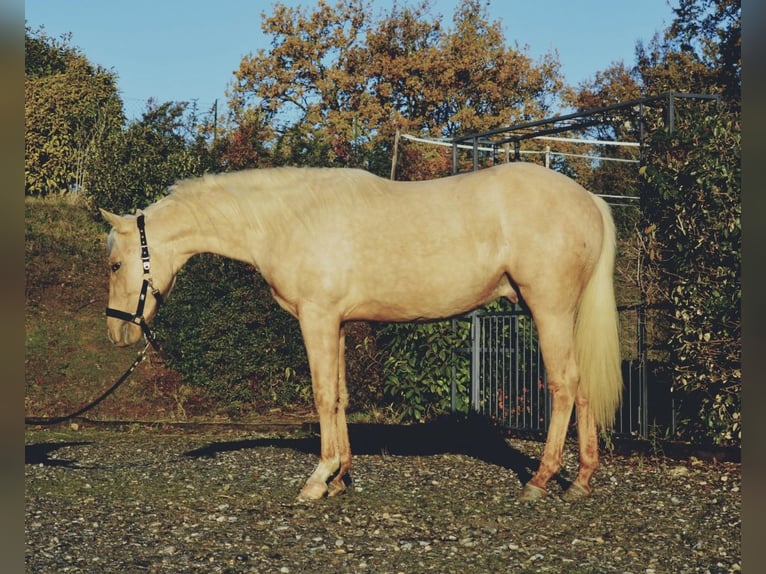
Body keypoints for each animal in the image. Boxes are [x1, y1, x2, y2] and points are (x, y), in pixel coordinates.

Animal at [100, 160, 624, 502]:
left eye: (115, 264)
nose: (118, 334)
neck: (287, 219)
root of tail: (588, 199)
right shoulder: (335, 323)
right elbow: (339, 397)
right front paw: (341, 477)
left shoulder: (316, 318)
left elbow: (321, 396)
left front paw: (318, 480)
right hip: (564, 315)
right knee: (582, 388)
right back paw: (580, 482)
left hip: (549, 309)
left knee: (564, 385)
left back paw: (540, 481)